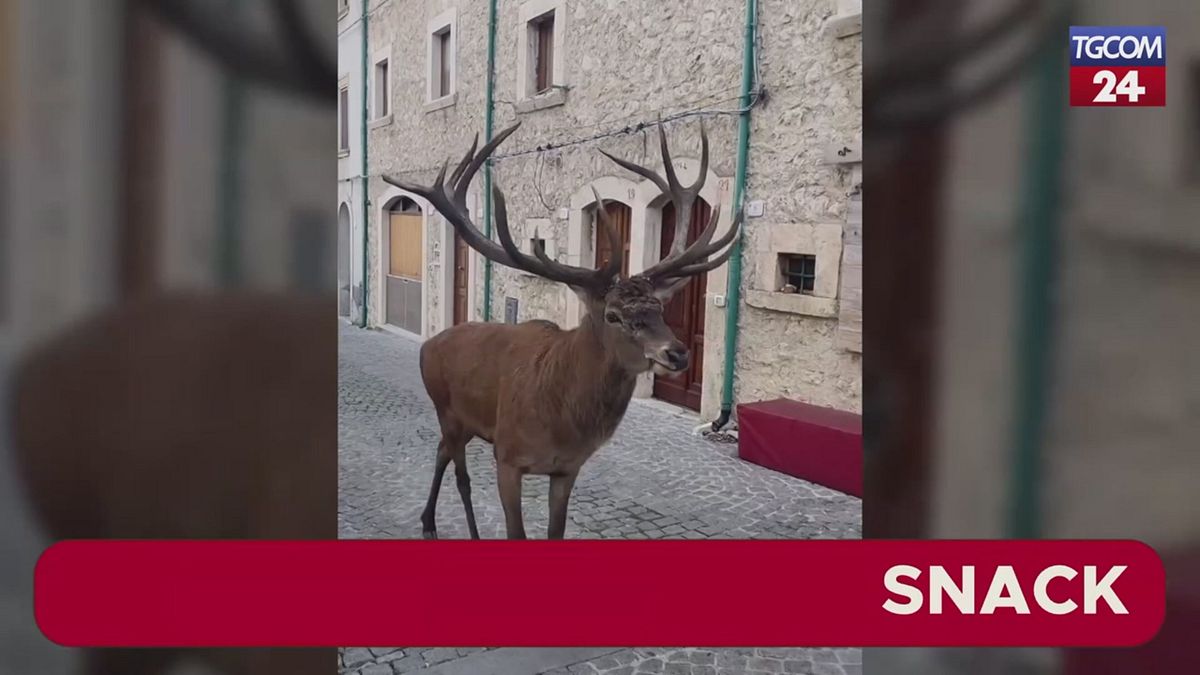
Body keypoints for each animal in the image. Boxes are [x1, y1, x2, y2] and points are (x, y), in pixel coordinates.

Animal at [384, 120, 739, 535]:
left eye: (660, 307)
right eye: (612, 315)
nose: (678, 353)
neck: (561, 419)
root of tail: (428, 345)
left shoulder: (568, 468)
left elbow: (557, 531)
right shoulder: (507, 456)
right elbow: (516, 532)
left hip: (466, 421)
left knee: (441, 452)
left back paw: (428, 520)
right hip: (446, 409)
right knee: (461, 474)